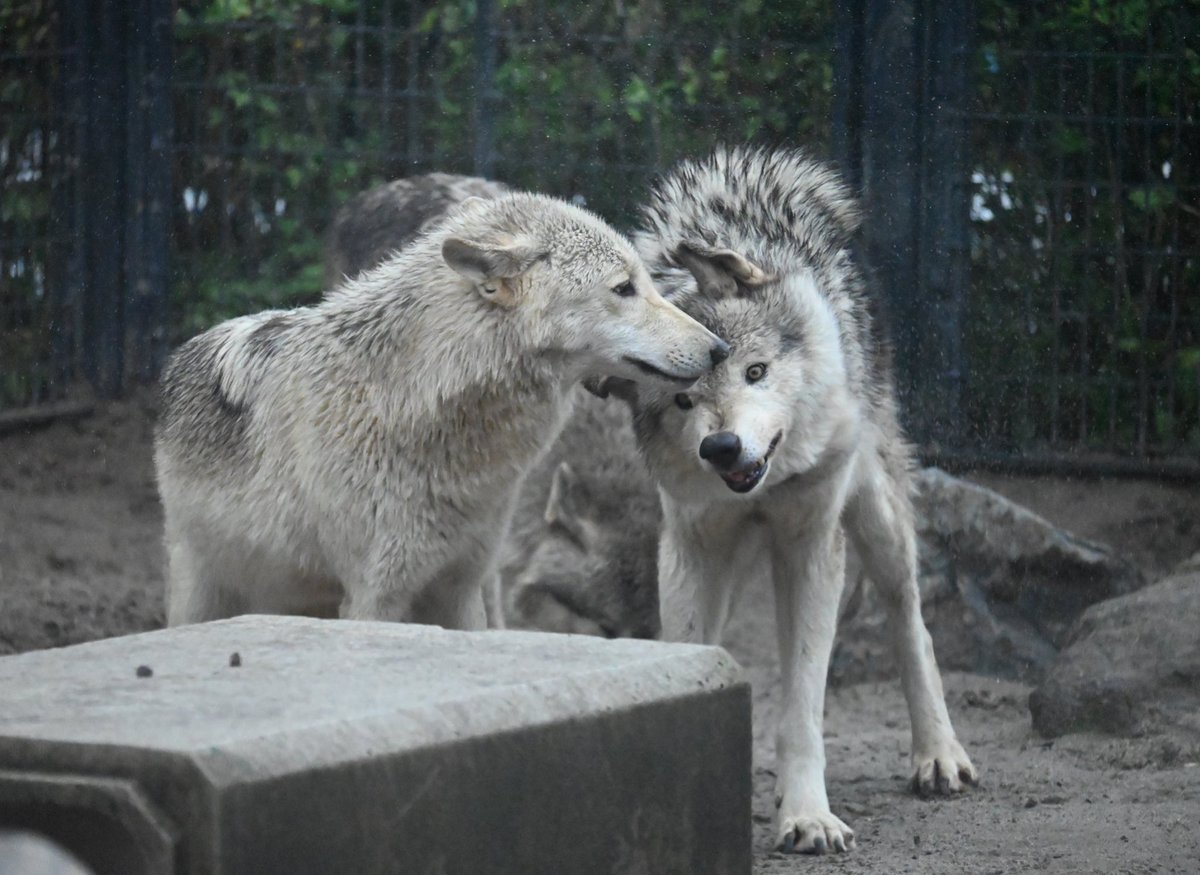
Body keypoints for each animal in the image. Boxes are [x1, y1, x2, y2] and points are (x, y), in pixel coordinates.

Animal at [154, 190, 724, 628]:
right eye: (624, 289)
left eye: (647, 281)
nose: (720, 349)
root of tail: (180, 357)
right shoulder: (375, 596)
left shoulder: (463, 586)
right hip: (203, 597)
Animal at [619, 148, 974, 854]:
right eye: (683, 400)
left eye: (754, 371)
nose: (722, 446)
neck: (768, 484)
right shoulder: (691, 549)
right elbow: (690, 653)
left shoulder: (811, 547)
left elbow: (804, 704)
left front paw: (807, 816)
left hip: (876, 519)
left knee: (911, 619)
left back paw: (938, 755)